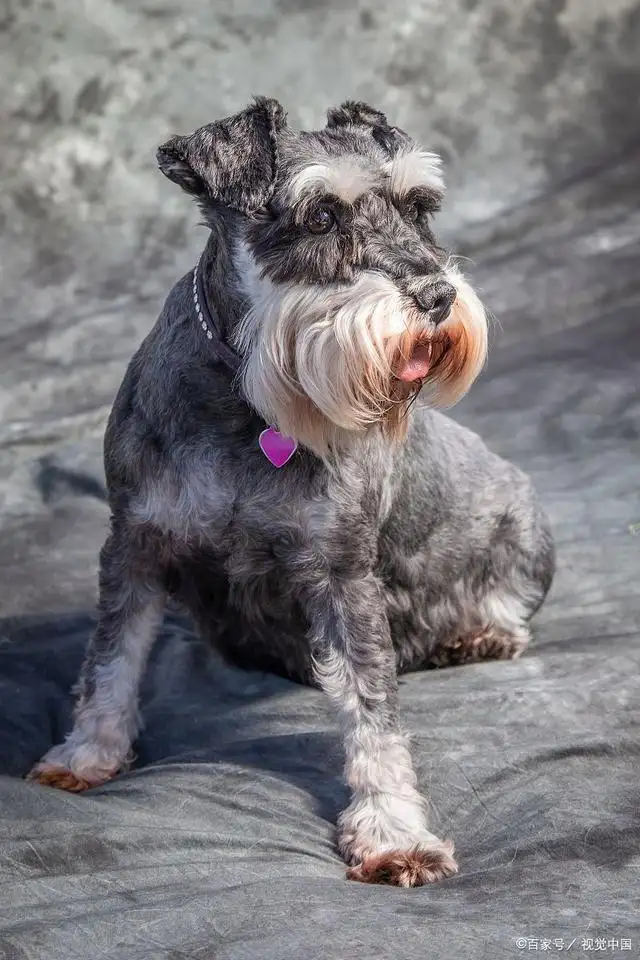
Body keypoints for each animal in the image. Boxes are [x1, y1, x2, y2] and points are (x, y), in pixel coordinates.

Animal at [27, 97, 552, 884]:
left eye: (419, 207)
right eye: (321, 217)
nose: (438, 297)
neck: (247, 404)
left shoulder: (341, 574)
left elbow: (373, 710)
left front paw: (393, 833)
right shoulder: (136, 544)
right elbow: (110, 659)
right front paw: (86, 753)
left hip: (527, 524)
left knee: (509, 603)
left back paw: (477, 632)